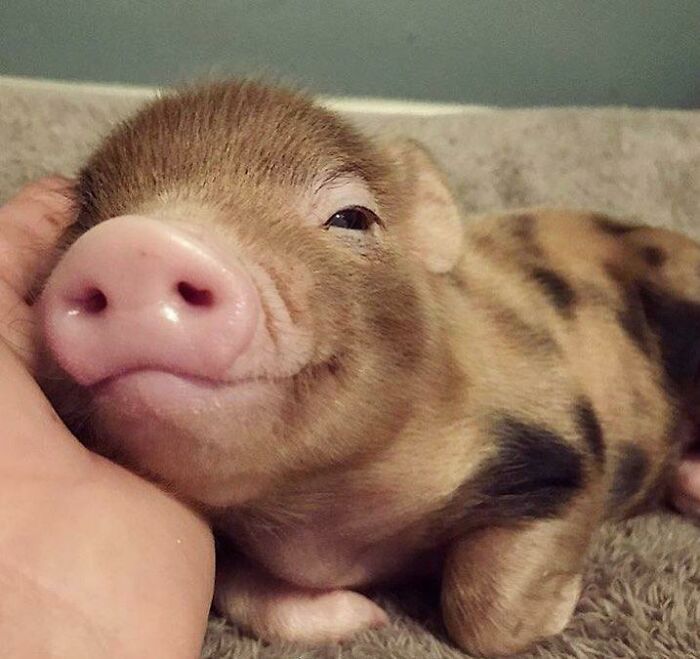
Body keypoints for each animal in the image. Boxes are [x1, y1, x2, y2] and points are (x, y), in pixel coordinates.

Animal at [35, 80, 700, 657]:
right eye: (82, 225)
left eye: (351, 217)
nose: (134, 246)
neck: (324, 525)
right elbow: (239, 589)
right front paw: (364, 617)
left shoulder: (561, 447)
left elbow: (484, 615)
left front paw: (562, 605)